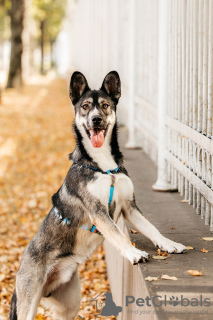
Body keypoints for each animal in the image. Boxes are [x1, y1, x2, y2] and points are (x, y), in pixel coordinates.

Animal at [9, 71, 186, 318]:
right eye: (85, 106)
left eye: (104, 105)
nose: (95, 119)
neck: (103, 166)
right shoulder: (97, 211)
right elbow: (118, 234)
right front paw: (133, 253)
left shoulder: (129, 206)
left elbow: (151, 228)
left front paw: (169, 244)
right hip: (28, 302)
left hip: (69, 304)